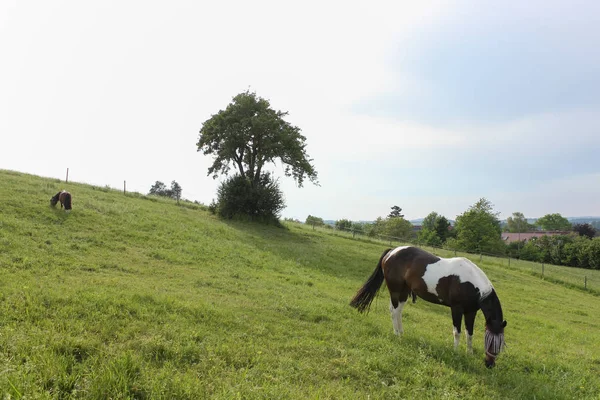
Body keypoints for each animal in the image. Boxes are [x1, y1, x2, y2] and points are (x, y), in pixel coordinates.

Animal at [350, 247, 508, 368]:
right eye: (489, 341)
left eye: (501, 343)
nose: (489, 364)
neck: (470, 283)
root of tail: (392, 252)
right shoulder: (456, 309)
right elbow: (457, 332)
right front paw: (456, 352)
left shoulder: (471, 312)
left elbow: (469, 333)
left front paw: (469, 354)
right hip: (395, 290)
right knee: (394, 311)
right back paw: (396, 334)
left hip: (404, 292)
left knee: (398, 311)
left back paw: (401, 332)